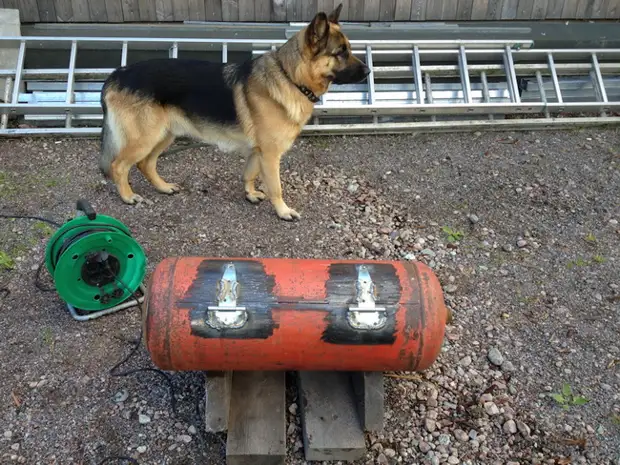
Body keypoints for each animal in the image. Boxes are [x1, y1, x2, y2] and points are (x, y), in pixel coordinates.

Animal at [97, 3, 368, 221]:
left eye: (349, 49)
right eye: (341, 52)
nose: (368, 72)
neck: (290, 77)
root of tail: (117, 73)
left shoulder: (258, 152)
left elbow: (249, 174)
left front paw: (250, 194)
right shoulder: (270, 155)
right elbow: (276, 187)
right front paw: (283, 211)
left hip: (164, 135)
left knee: (145, 164)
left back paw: (163, 187)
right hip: (145, 138)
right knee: (118, 165)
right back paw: (128, 197)